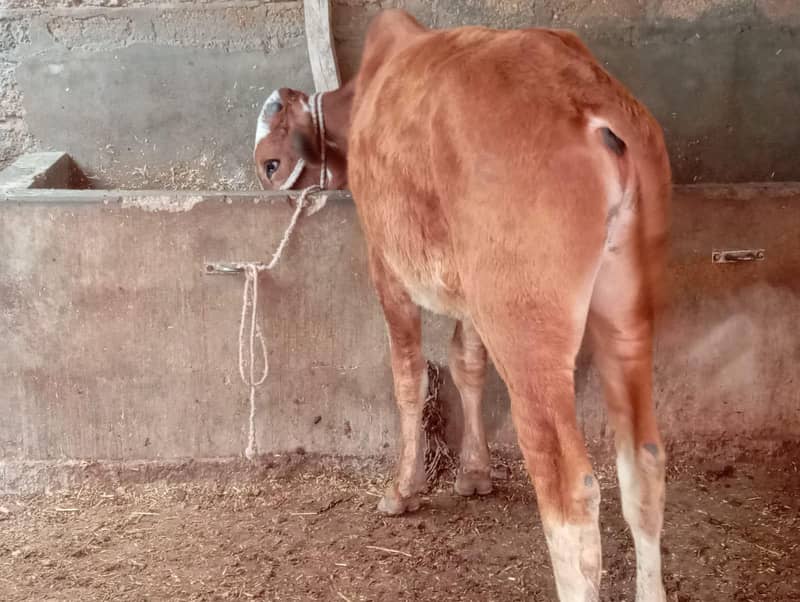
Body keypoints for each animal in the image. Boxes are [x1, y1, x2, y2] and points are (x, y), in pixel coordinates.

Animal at [254, 9, 671, 602]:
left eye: (271, 164)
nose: (274, 190)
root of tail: (592, 102)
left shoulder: (386, 266)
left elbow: (408, 376)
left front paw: (402, 490)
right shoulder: (469, 292)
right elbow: (467, 363)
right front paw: (475, 474)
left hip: (526, 328)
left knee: (572, 495)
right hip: (628, 308)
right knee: (645, 462)